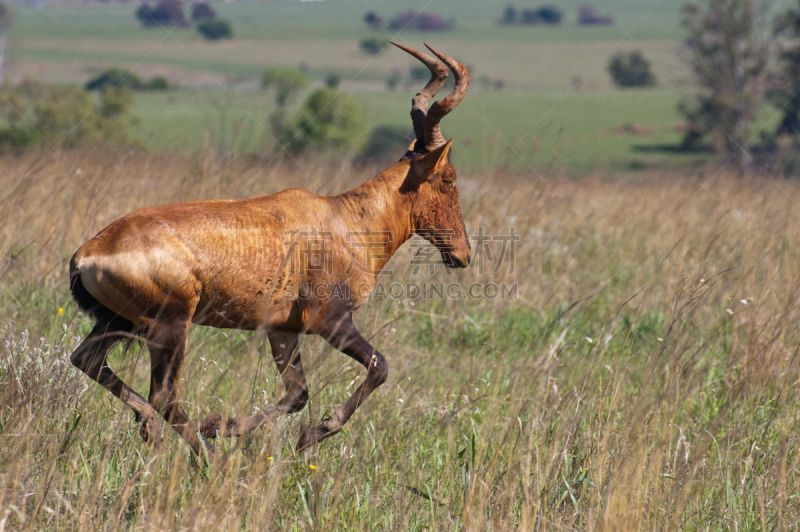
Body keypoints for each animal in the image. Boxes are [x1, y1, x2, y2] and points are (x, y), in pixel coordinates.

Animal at [67, 43, 468, 456]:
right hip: (169, 326)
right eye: (448, 178)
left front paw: (222, 425)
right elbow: (380, 366)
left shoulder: (282, 330)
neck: (345, 218)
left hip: (120, 320)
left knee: (88, 361)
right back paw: (207, 457)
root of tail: (88, 253)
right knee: (164, 396)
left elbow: (297, 394)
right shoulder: (331, 322)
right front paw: (315, 432)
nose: (462, 254)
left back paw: (154, 427)